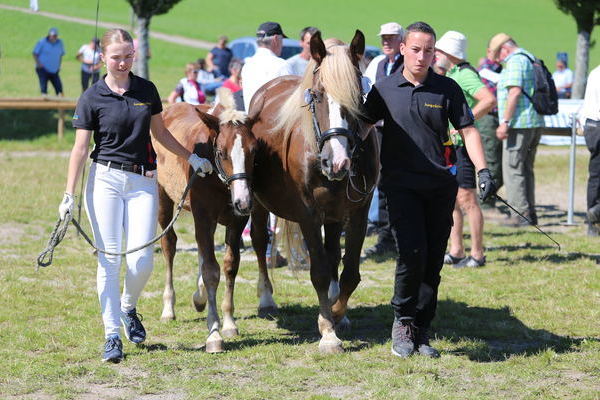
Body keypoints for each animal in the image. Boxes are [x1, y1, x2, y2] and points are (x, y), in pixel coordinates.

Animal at [154, 90, 256, 354]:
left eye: (254, 150)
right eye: (221, 152)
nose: (243, 201)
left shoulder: (237, 221)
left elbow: (229, 265)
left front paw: (229, 322)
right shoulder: (202, 215)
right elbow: (211, 271)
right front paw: (214, 336)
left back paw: (199, 297)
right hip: (163, 197)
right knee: (169, 245)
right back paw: (168, 308)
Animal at [246, 29, 378, 352]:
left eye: (358, 96)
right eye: (316, 95)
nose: (337, 161)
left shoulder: (358, 211)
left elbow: (350, 272)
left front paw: (337, 313)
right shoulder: (308, 214)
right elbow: (318, 272)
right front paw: (328, 330)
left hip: (334, 214)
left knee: (333, 254)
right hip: (258, 203)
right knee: (259, 241)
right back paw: (266, 298)